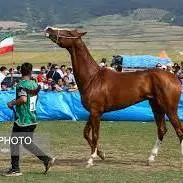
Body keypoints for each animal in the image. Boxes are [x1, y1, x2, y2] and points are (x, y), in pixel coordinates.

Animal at [44, 26, 183, 167]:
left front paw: (91, 159)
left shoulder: (96, 112)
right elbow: (86, 133)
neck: (92, 78)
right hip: (156, 107)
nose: (48, 29)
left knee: (179, 130)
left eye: (68, 32)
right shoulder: (93, 112)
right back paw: (151, 158)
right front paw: (101, 154)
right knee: (162, 130)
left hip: (170, 108)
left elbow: (95, 135)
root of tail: (175, 78)